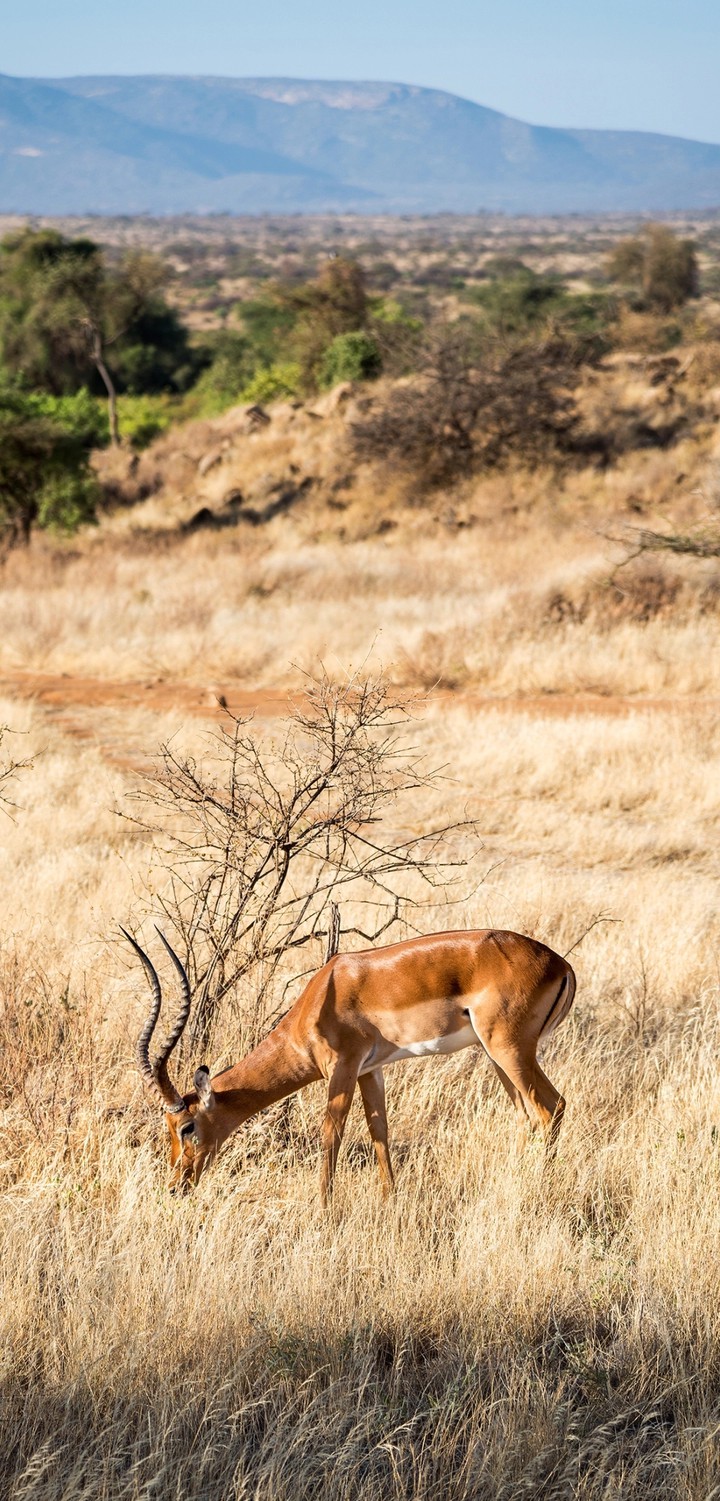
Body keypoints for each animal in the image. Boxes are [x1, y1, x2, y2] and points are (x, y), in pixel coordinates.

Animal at [124, 926, 576, 1202]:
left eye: (187, 1127)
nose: (176, 1186)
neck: (320, 998)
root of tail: (560, 963)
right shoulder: (369, 1071)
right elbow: (380, 1131)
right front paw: (390, 1201)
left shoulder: (341, 1068)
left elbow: (331, 1135)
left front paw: (322, 1211)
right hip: (498, 1057)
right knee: (530, 1116)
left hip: (509, 1050)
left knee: (551, 1107)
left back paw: (538, 1191)